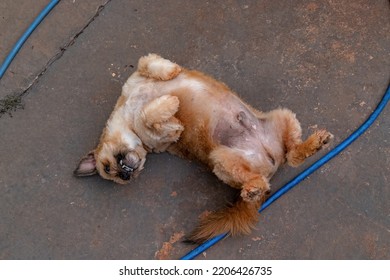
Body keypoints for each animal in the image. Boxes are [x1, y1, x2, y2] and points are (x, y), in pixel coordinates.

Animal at [74, 54, 334, 243]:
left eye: (108, 167)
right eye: (114, 175)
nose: (127, 174)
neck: (128, 112)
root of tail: (270, 161)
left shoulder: (137, 77)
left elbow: (147, 62)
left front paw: (169, 73)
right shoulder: (164, 135)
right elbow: (150, 116)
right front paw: (169, 103)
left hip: (283, 116)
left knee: (293, 153)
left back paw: (314, 144)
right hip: (222, 160)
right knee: (269, 172)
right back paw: (253, 189)